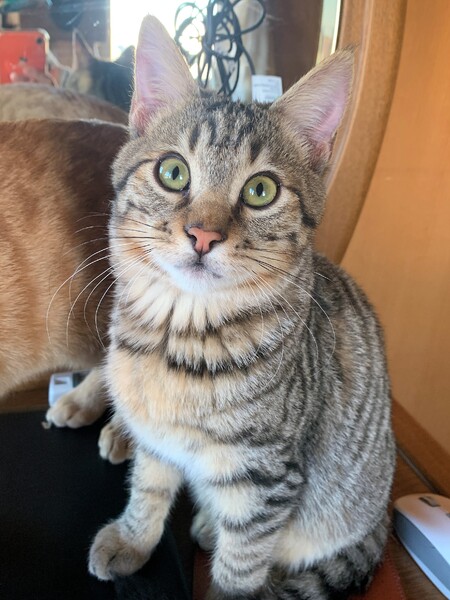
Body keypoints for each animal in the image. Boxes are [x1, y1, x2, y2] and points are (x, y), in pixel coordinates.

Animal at [87, 16, 395, 600]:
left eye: (260, 190)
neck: (175, 337)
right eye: (173, 172)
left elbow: (242, 562)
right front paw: (133, 539)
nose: (203, 235)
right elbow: (148, 489)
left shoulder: (266, 477)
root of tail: (384, 516)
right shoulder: (156, 439)